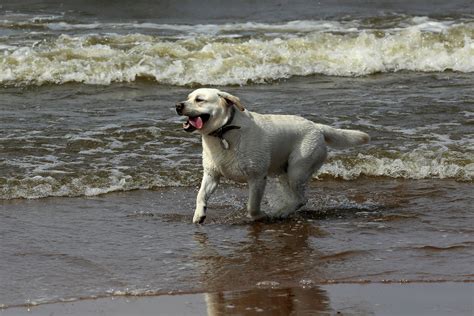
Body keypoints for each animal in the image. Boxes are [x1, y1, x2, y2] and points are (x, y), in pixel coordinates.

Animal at [176, 87, 368, 223]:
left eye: (199, 100)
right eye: (188, 98)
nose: (178, 106)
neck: (224, 132)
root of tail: (317, 127)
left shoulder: (257, 177)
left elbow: (252, 206)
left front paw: (260, 216)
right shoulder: (212, 175)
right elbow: (200, 195)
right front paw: (199, 214)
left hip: (298, 170)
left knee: (302, 199)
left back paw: (281, 212)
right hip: (285, 173)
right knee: (295, 197)